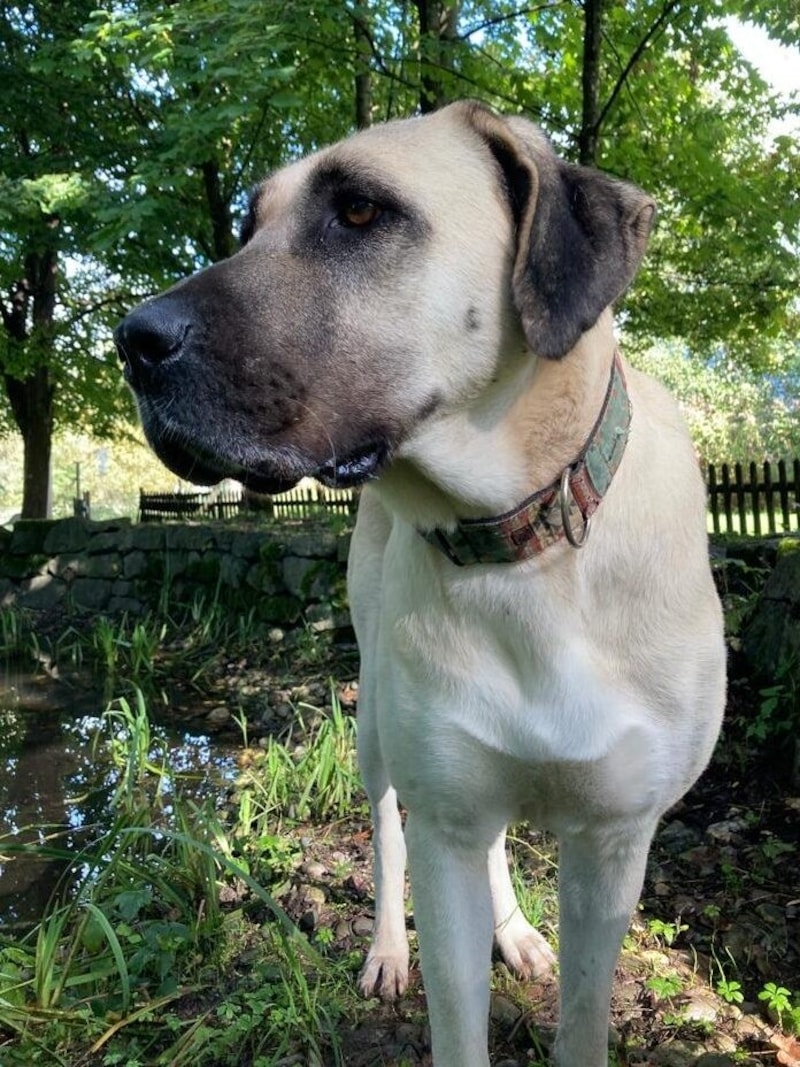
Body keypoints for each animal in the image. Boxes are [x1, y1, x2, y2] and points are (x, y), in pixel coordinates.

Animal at [115, 101, 729, 1067]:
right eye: (249, 228)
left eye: (361, 211)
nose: (132, 340)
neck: (522, 547)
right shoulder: (443, 814)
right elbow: (451, 993)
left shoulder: (614, 841)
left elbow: (584, 1014)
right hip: (377, 721)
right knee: (386, 825)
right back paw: (386, 952)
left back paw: (513, 931)